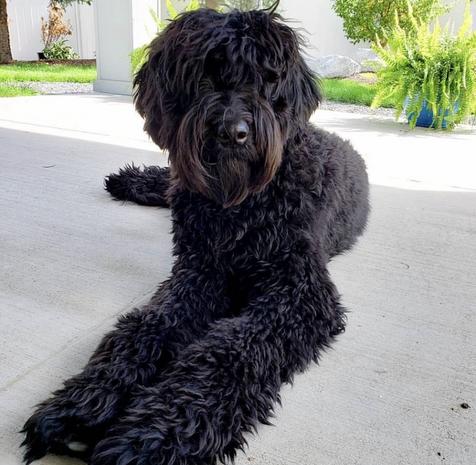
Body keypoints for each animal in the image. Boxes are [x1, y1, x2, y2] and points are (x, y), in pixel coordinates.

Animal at [22, 6, 370, 464]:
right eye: (205, 74)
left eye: (265, 77)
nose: (233, 132)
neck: (238, 206)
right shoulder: (199, 272)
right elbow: (147, 325)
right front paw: (84, 401)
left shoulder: (299, 292)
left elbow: (231, 348)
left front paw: (157, 433)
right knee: (167, 181)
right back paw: (127, 180)